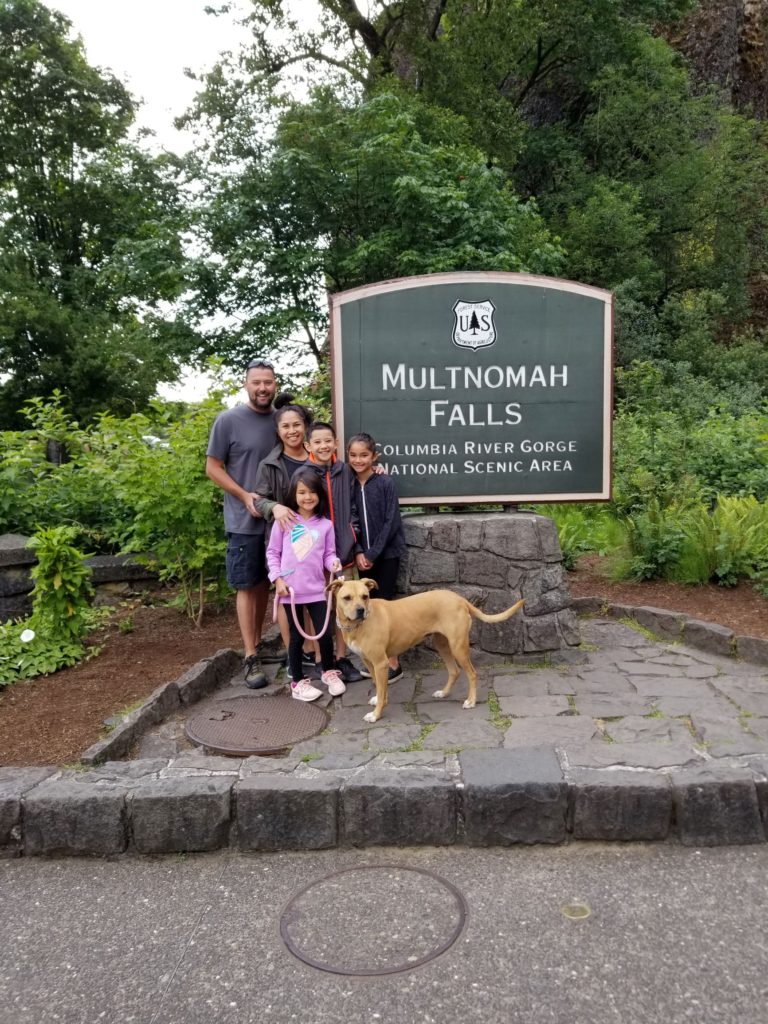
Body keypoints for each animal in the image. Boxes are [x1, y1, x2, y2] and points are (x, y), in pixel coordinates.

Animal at [327, 581, 528, 724]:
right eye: (347, 598)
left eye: (365, 596)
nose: (361, 610)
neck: (358, 626)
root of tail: (459, 598)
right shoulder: (370, 663)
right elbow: (379, 685)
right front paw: (379, 699)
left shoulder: (380, 663)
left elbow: (382, 688)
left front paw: (376, 714)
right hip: (442, 644)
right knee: (454, 671)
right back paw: (444, 693)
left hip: (458, 647)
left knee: (471, 673)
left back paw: (471, 701)